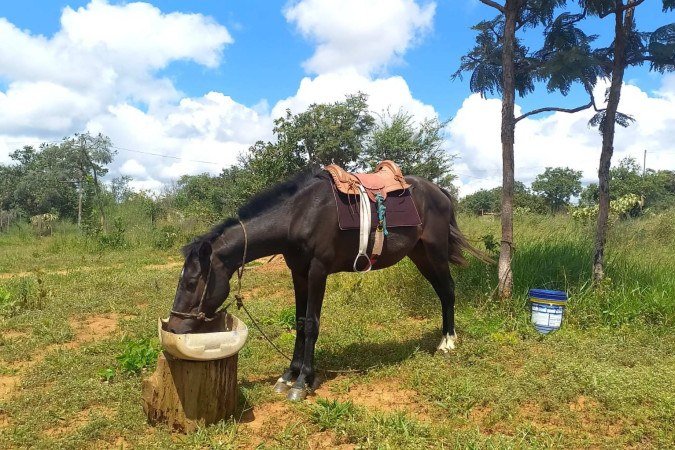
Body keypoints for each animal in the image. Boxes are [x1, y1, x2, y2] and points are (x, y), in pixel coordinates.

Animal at [166, 167, 489, 401]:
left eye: (191, 282)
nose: (174, 326)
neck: (299, 214)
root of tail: (440, 192)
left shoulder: (318, 271)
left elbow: (311, 324)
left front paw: (303, 381)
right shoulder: (298, 273)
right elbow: (299, 322)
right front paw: (289, 375)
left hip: (435, 252)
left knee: (448, 291)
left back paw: (447, 342)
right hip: (420, 255)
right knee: (442, 292)